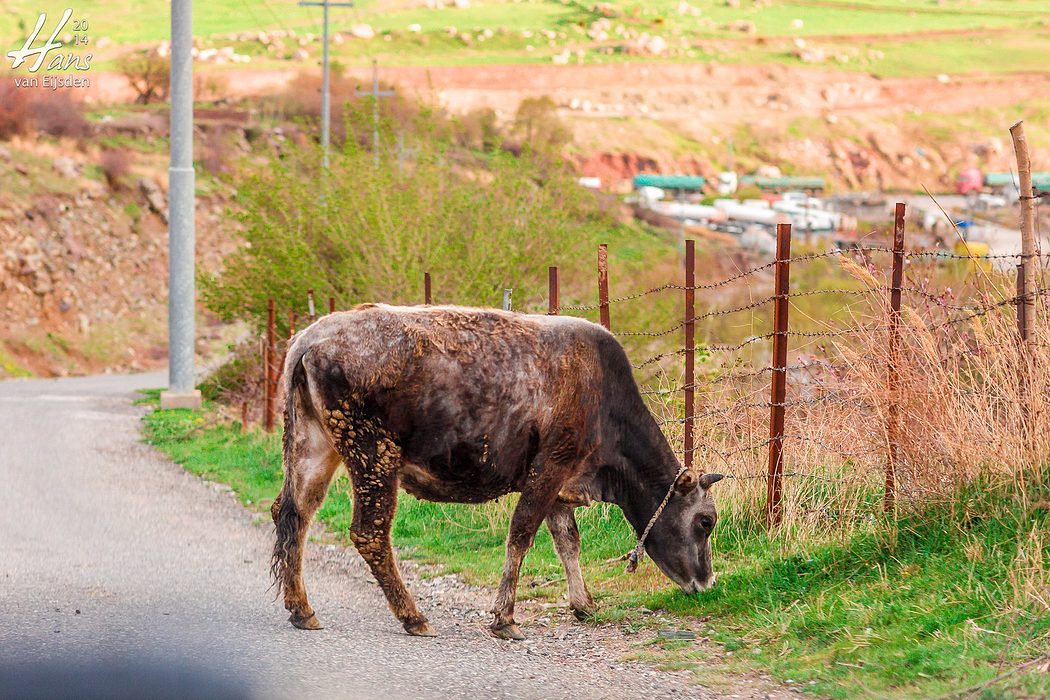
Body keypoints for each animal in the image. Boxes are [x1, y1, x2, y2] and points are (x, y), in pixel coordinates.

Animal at [270, 302, 722, 642]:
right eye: (705, 521)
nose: (708, 582)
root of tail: (311, 337)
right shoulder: (550, 467)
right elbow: (521, 536)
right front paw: (504, 618)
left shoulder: (559, 481)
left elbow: (567, 541)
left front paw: (584, 604)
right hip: (372, 453)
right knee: (370, 533)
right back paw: (413, 616)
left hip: (313, 446)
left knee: (292, 513)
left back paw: (301, 608)